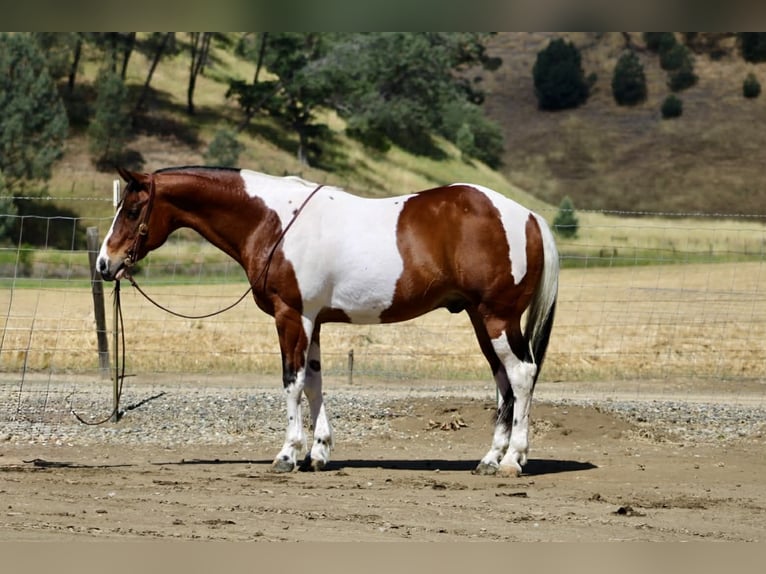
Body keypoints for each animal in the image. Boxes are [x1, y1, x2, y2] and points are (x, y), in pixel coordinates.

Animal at [97, 166, 559, 477]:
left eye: (133, 209)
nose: (104, 263)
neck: (274, 221)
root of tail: (529, 217)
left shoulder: (291, 316)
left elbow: (292, 381)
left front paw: (287, 454)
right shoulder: (313, 321)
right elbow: (315, 382)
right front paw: (317, 453)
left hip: (497, 318)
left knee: (522, 374)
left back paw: (513, 460)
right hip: (484, 321)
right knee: (503, 382)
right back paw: (490, 459)